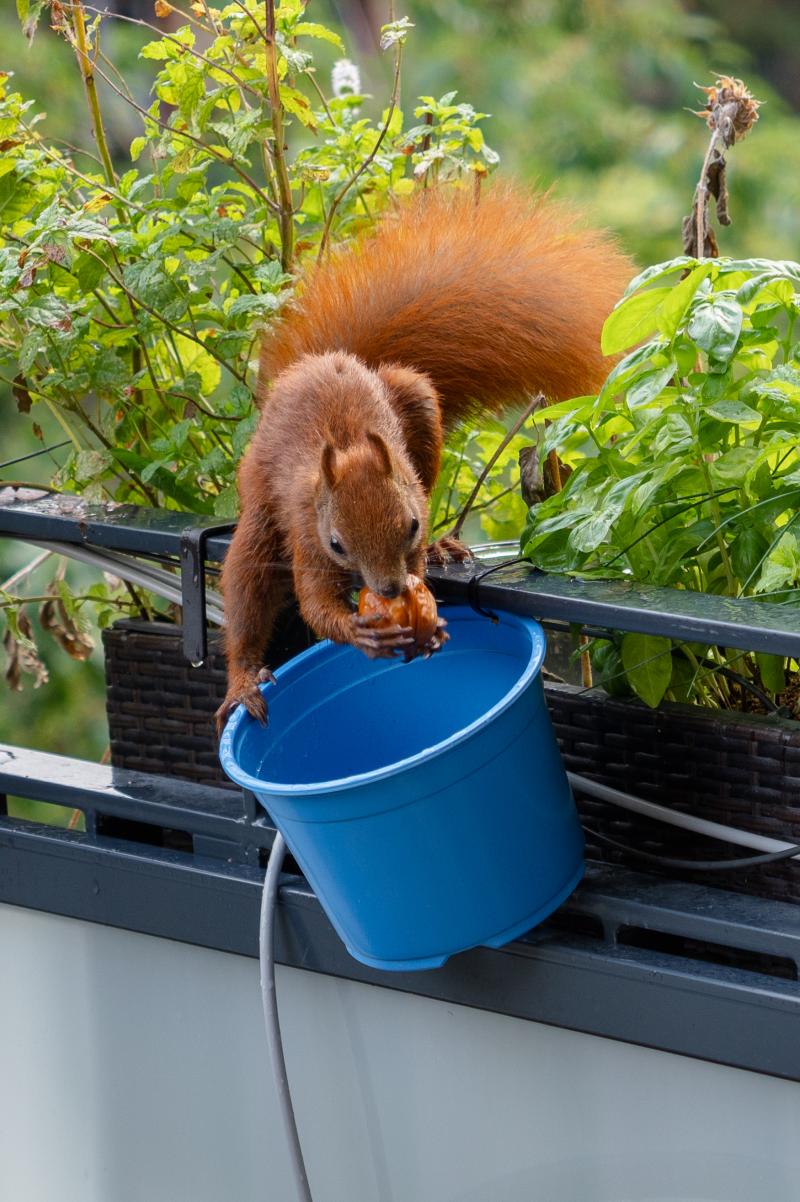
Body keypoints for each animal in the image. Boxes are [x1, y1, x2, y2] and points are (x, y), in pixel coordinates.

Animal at [215, 185, 634, 730]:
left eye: (411, 524)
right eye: (337, 543)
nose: (392, 589)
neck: (349, 452)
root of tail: (320, 362)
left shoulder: (412, 495)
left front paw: (429, 604)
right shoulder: (307, 530)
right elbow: (314, 603)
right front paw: (358, 631)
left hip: (414, 397)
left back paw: (441, 549)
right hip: (261, 499)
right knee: (248, 581)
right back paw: (243, 680)